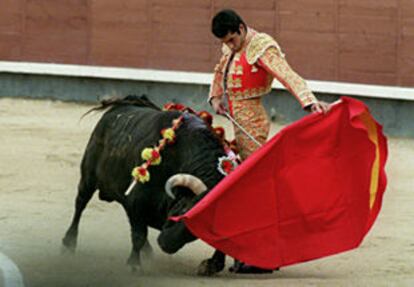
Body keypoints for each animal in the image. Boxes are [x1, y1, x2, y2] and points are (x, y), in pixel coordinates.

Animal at [61, 95, 228, 276]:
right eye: (185, 210)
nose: (165, 244)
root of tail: (125, 104)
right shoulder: (137, 199)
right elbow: (139, 234)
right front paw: (134, 265)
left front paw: (211, 265)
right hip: (88, 177)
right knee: (80, 204)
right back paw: (68, 243)